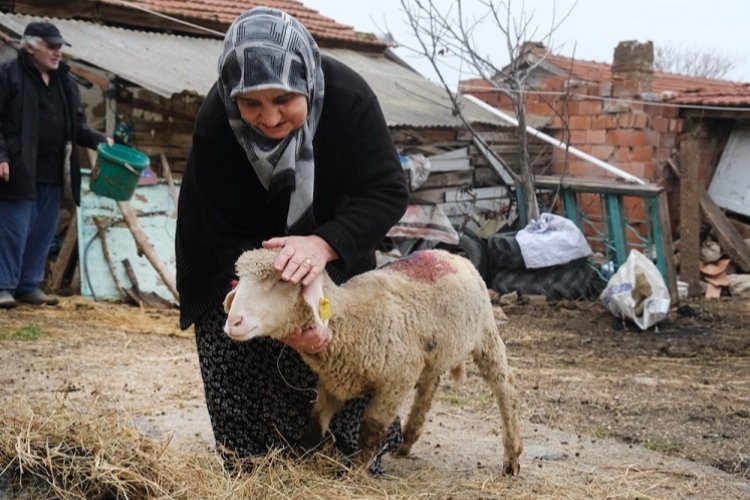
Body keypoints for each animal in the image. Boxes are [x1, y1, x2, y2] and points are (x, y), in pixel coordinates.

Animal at [223, 248, 524, 474]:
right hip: (435, 352)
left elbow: (370, 429)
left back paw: (512, 457)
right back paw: (407, 441)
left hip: (485, 332)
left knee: (505, 387)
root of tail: (449, 254)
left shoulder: (397, 381)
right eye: (239, 281)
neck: (351, 319)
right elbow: (315, 422)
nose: (233, 322)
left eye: (282, 280)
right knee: (430, 386)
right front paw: (296, 459)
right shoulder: (333, 381)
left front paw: (355, 473)